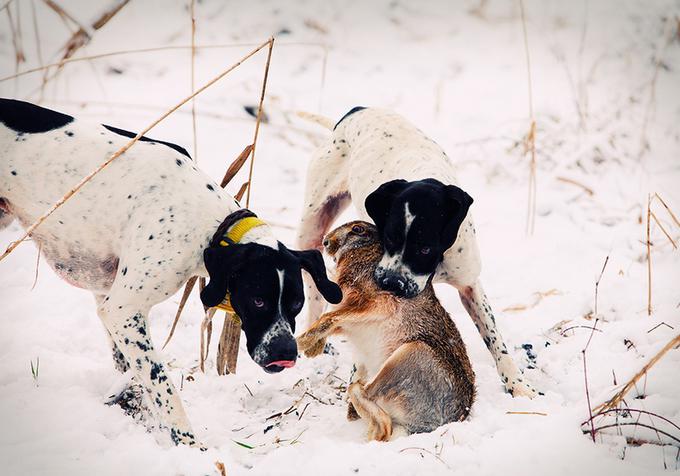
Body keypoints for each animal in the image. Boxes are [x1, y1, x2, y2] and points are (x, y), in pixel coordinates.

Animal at [0, 98, 340, 448]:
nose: (286, 354)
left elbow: (129, 369)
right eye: (258, 301)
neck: (207, 222)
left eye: (296, 304)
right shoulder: (123, 309)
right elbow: (161, 384)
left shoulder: (109, 298)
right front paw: (189, 444)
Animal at [298, 107, 536, 398]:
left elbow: (494, 338)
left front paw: (518, 385)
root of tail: (357, 111)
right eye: (389, 238)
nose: (391, 284)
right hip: (311, 227)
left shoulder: (469, 283)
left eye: (425, 248)